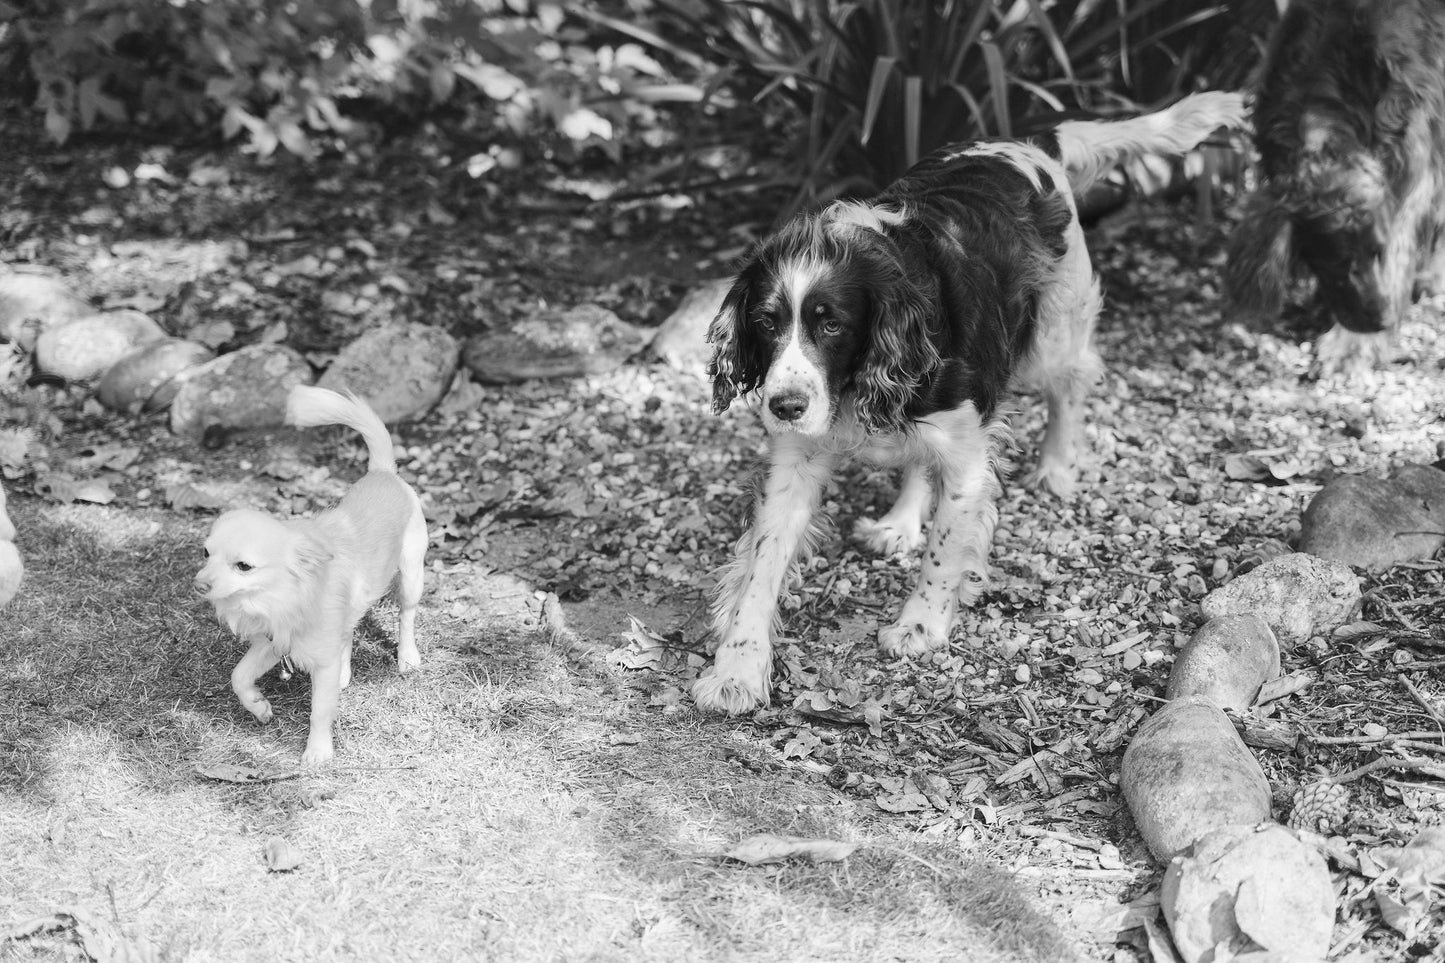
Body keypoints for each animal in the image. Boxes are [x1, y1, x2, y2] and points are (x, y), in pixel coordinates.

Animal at [195, 381, 424, 763]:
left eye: (244, 566)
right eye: (205, 553)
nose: (199, 584)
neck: (282, 598)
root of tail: (384, 472)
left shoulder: (317, 662)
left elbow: (320, 710)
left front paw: (318, 753)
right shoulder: (274, 643)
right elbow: (238, 676)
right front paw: (259, 706)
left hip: (411, 575)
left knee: (406, 615)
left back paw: (407, 657)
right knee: (348, 631)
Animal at [687, 90, 1242, 711]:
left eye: (832, 325)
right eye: (765, 323)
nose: (784, 407)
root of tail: (1030, 142)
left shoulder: (967, 453)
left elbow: (945, 546)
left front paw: (920, 624)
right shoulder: (797, 462)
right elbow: (763, 564)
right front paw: (737, 669)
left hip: (1055, 331)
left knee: (1070, 385)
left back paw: (1055, 469)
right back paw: (899, 522)